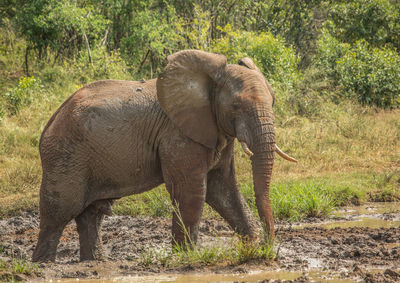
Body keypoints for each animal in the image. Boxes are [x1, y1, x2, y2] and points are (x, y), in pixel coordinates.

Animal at [32, 49, 296, 264]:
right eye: (236, 107)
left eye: (273, 101)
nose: (268, 246)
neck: (208, 81)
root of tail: (52, 120)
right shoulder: (178, 135)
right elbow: (192, 192)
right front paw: (187, 257)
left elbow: (223, 190)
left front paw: (253, 249)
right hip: (65, 157)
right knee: (58, 214)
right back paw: (42, 264)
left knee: (91, 214)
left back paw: (94, 262)